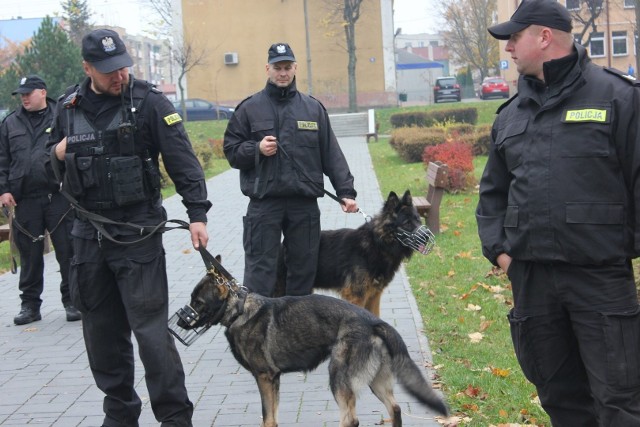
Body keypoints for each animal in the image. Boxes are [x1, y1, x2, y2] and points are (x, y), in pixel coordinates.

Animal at [172, 258, 448, 427]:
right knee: (395, 409)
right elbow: (272, 417)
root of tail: (373, 321)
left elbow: (267, 417)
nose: (180, 324)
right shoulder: (274, 380)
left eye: (198, 302)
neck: (239, 309)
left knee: (351, 419)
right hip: (375, 380)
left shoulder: (265, 377)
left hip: (339, 377)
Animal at [270, 189, 430, 316]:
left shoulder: (374, 296)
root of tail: (281, 247)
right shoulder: (356, 296)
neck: (377, 244)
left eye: (418, 220)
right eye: (407, 223)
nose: (428, 235)